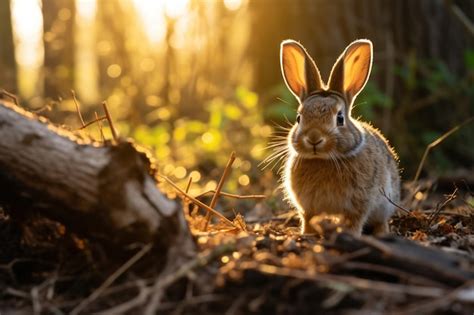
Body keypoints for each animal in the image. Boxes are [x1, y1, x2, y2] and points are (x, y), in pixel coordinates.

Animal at [280, 39, 402, 236]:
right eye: (299, 118)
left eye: (340, 118)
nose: (314, 138)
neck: (323, 160)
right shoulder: (308, 207)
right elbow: (308, 219)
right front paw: (306, 234)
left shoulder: (359, 204)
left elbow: (355, 221)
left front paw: (351, 234)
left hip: (385, 204)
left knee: (381, 221)